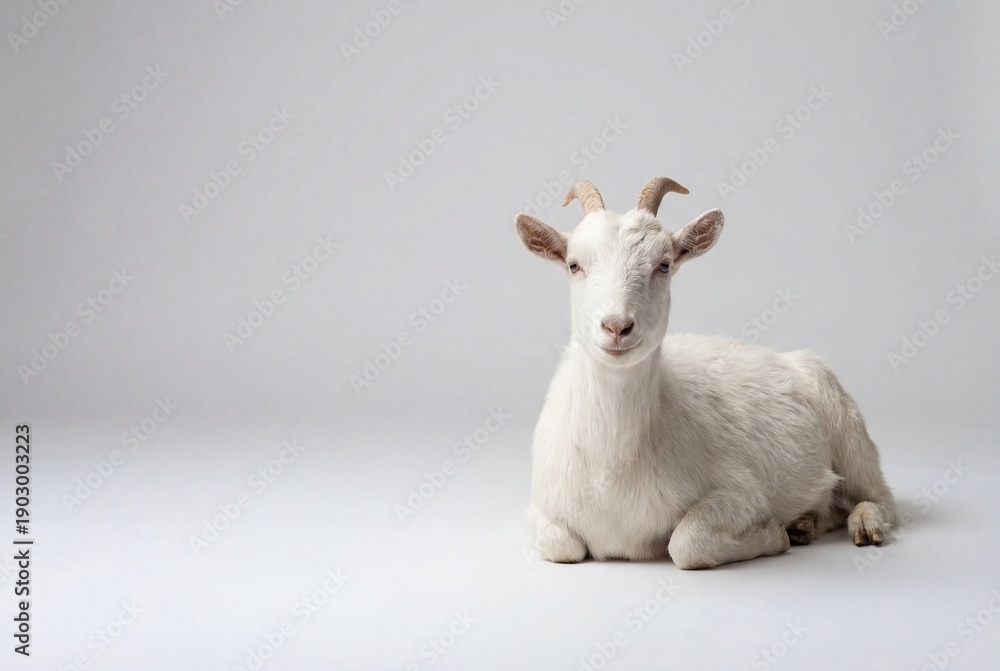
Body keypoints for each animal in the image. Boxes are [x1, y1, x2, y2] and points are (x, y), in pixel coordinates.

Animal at [514, 177, 896, 569]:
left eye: (664, 264)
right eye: (574, 264)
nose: (617, 326)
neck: (611, 465)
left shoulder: (743, 491)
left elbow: (687, 544)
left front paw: (775, 534)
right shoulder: (541, 506)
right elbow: (561, 546)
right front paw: (788, 531)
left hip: (849, 433)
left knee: (880, 496)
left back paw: (863, 525)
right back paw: (807, 523)